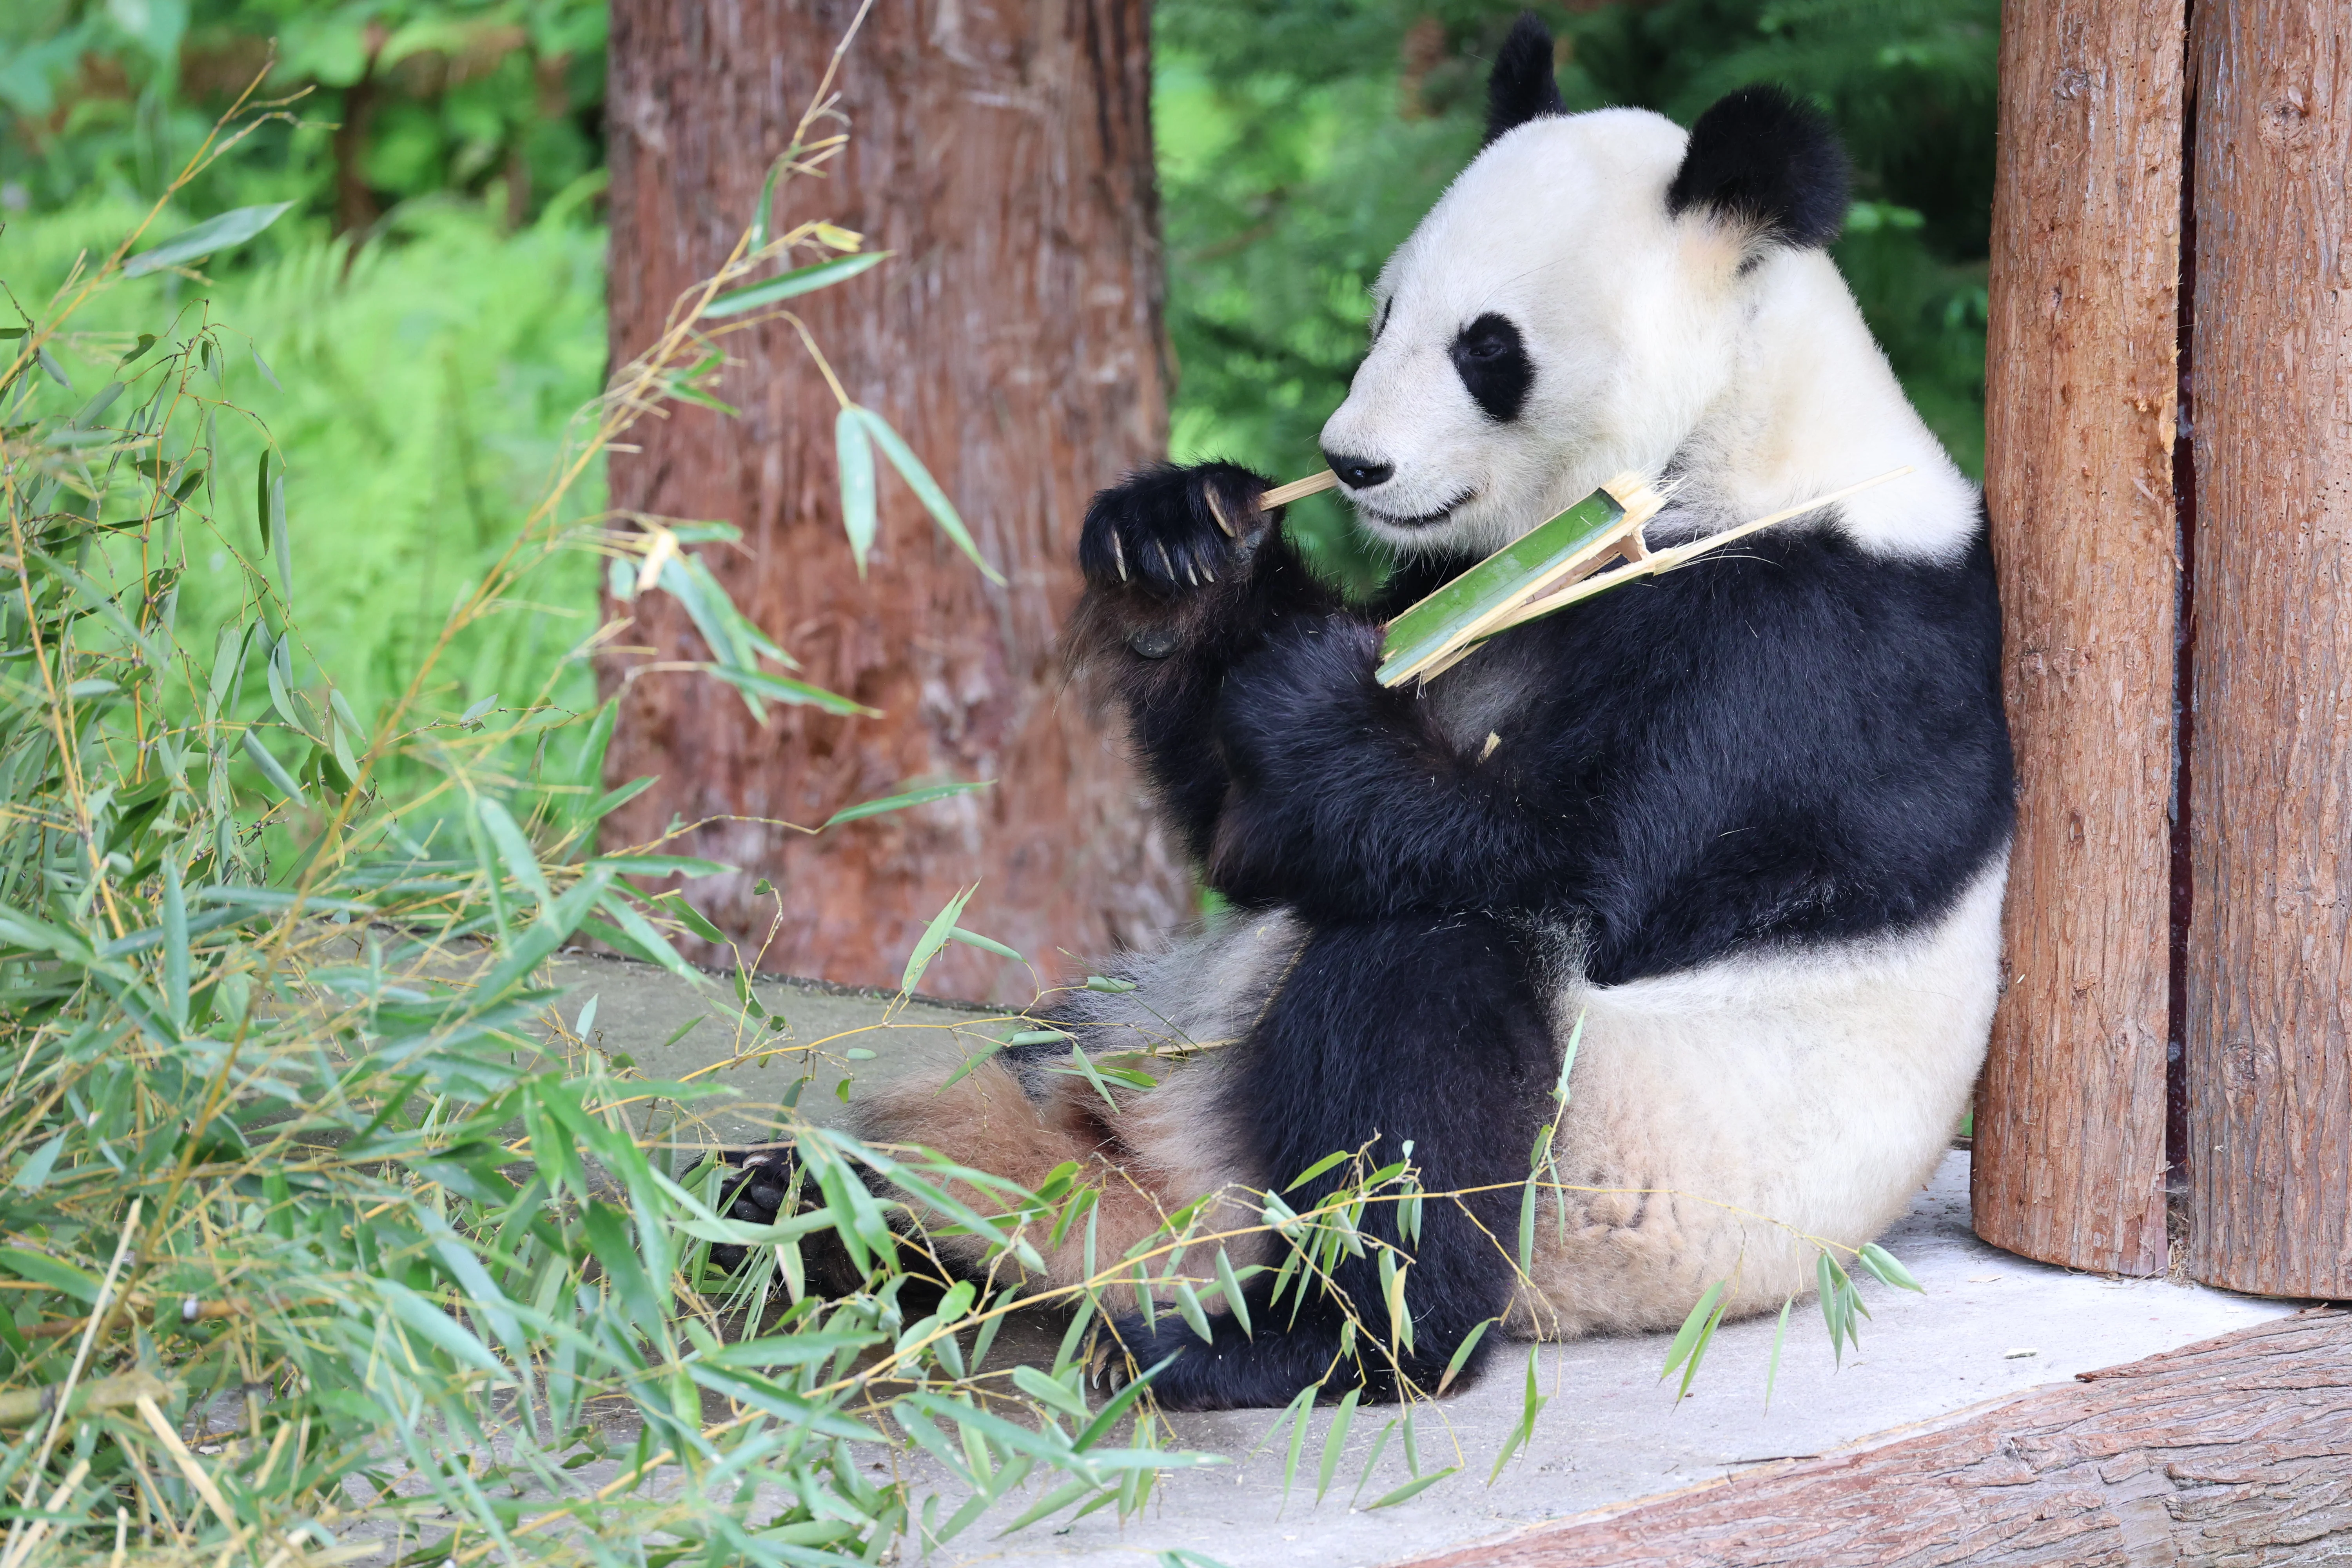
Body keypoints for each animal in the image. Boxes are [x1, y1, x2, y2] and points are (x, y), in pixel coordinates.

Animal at [717, 14, 2012, 1414]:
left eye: (1488, 349)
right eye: (1384, 310)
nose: (1350, 463)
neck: (1721, 449)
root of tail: (1165, 1201)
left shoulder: (1806, 651)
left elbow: (1587, 869)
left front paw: (1309, 694)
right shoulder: (1475, 580)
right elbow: (1243, 832)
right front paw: (1183, 549)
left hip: (1608, 1179)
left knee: (1423, 1020)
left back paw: (1290, 1340)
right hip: (1140, 1044)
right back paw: (810, 1214)